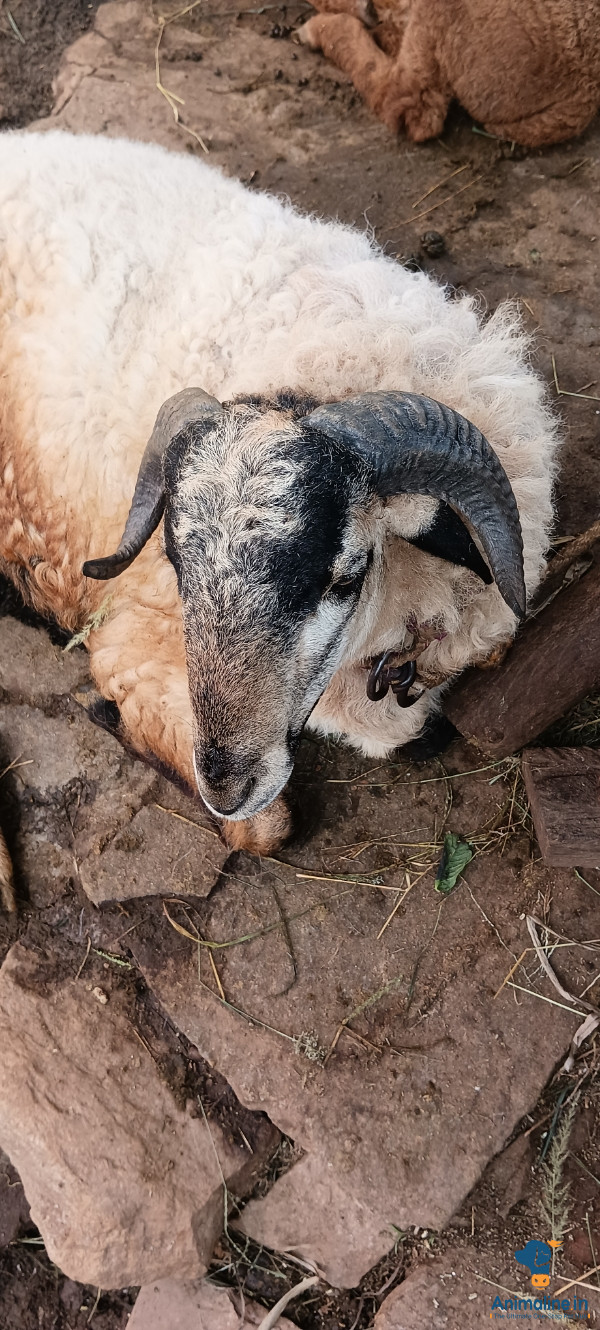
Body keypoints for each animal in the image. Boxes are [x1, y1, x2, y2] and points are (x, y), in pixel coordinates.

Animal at [0, 130, 557, 861]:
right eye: (177, 565)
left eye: (343, 577)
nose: (227, 783)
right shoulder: (132, 644)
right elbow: (265, 829)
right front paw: (103, 712)